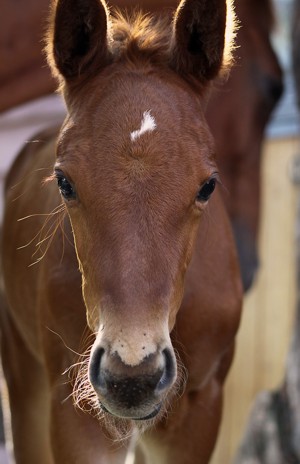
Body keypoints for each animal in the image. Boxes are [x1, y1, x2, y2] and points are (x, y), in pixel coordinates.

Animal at [0, 0, 241, 464]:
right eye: (64, 182)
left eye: (207, 186)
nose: (133, 377)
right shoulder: (76, 410)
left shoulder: (200, 409)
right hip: (26, 381)